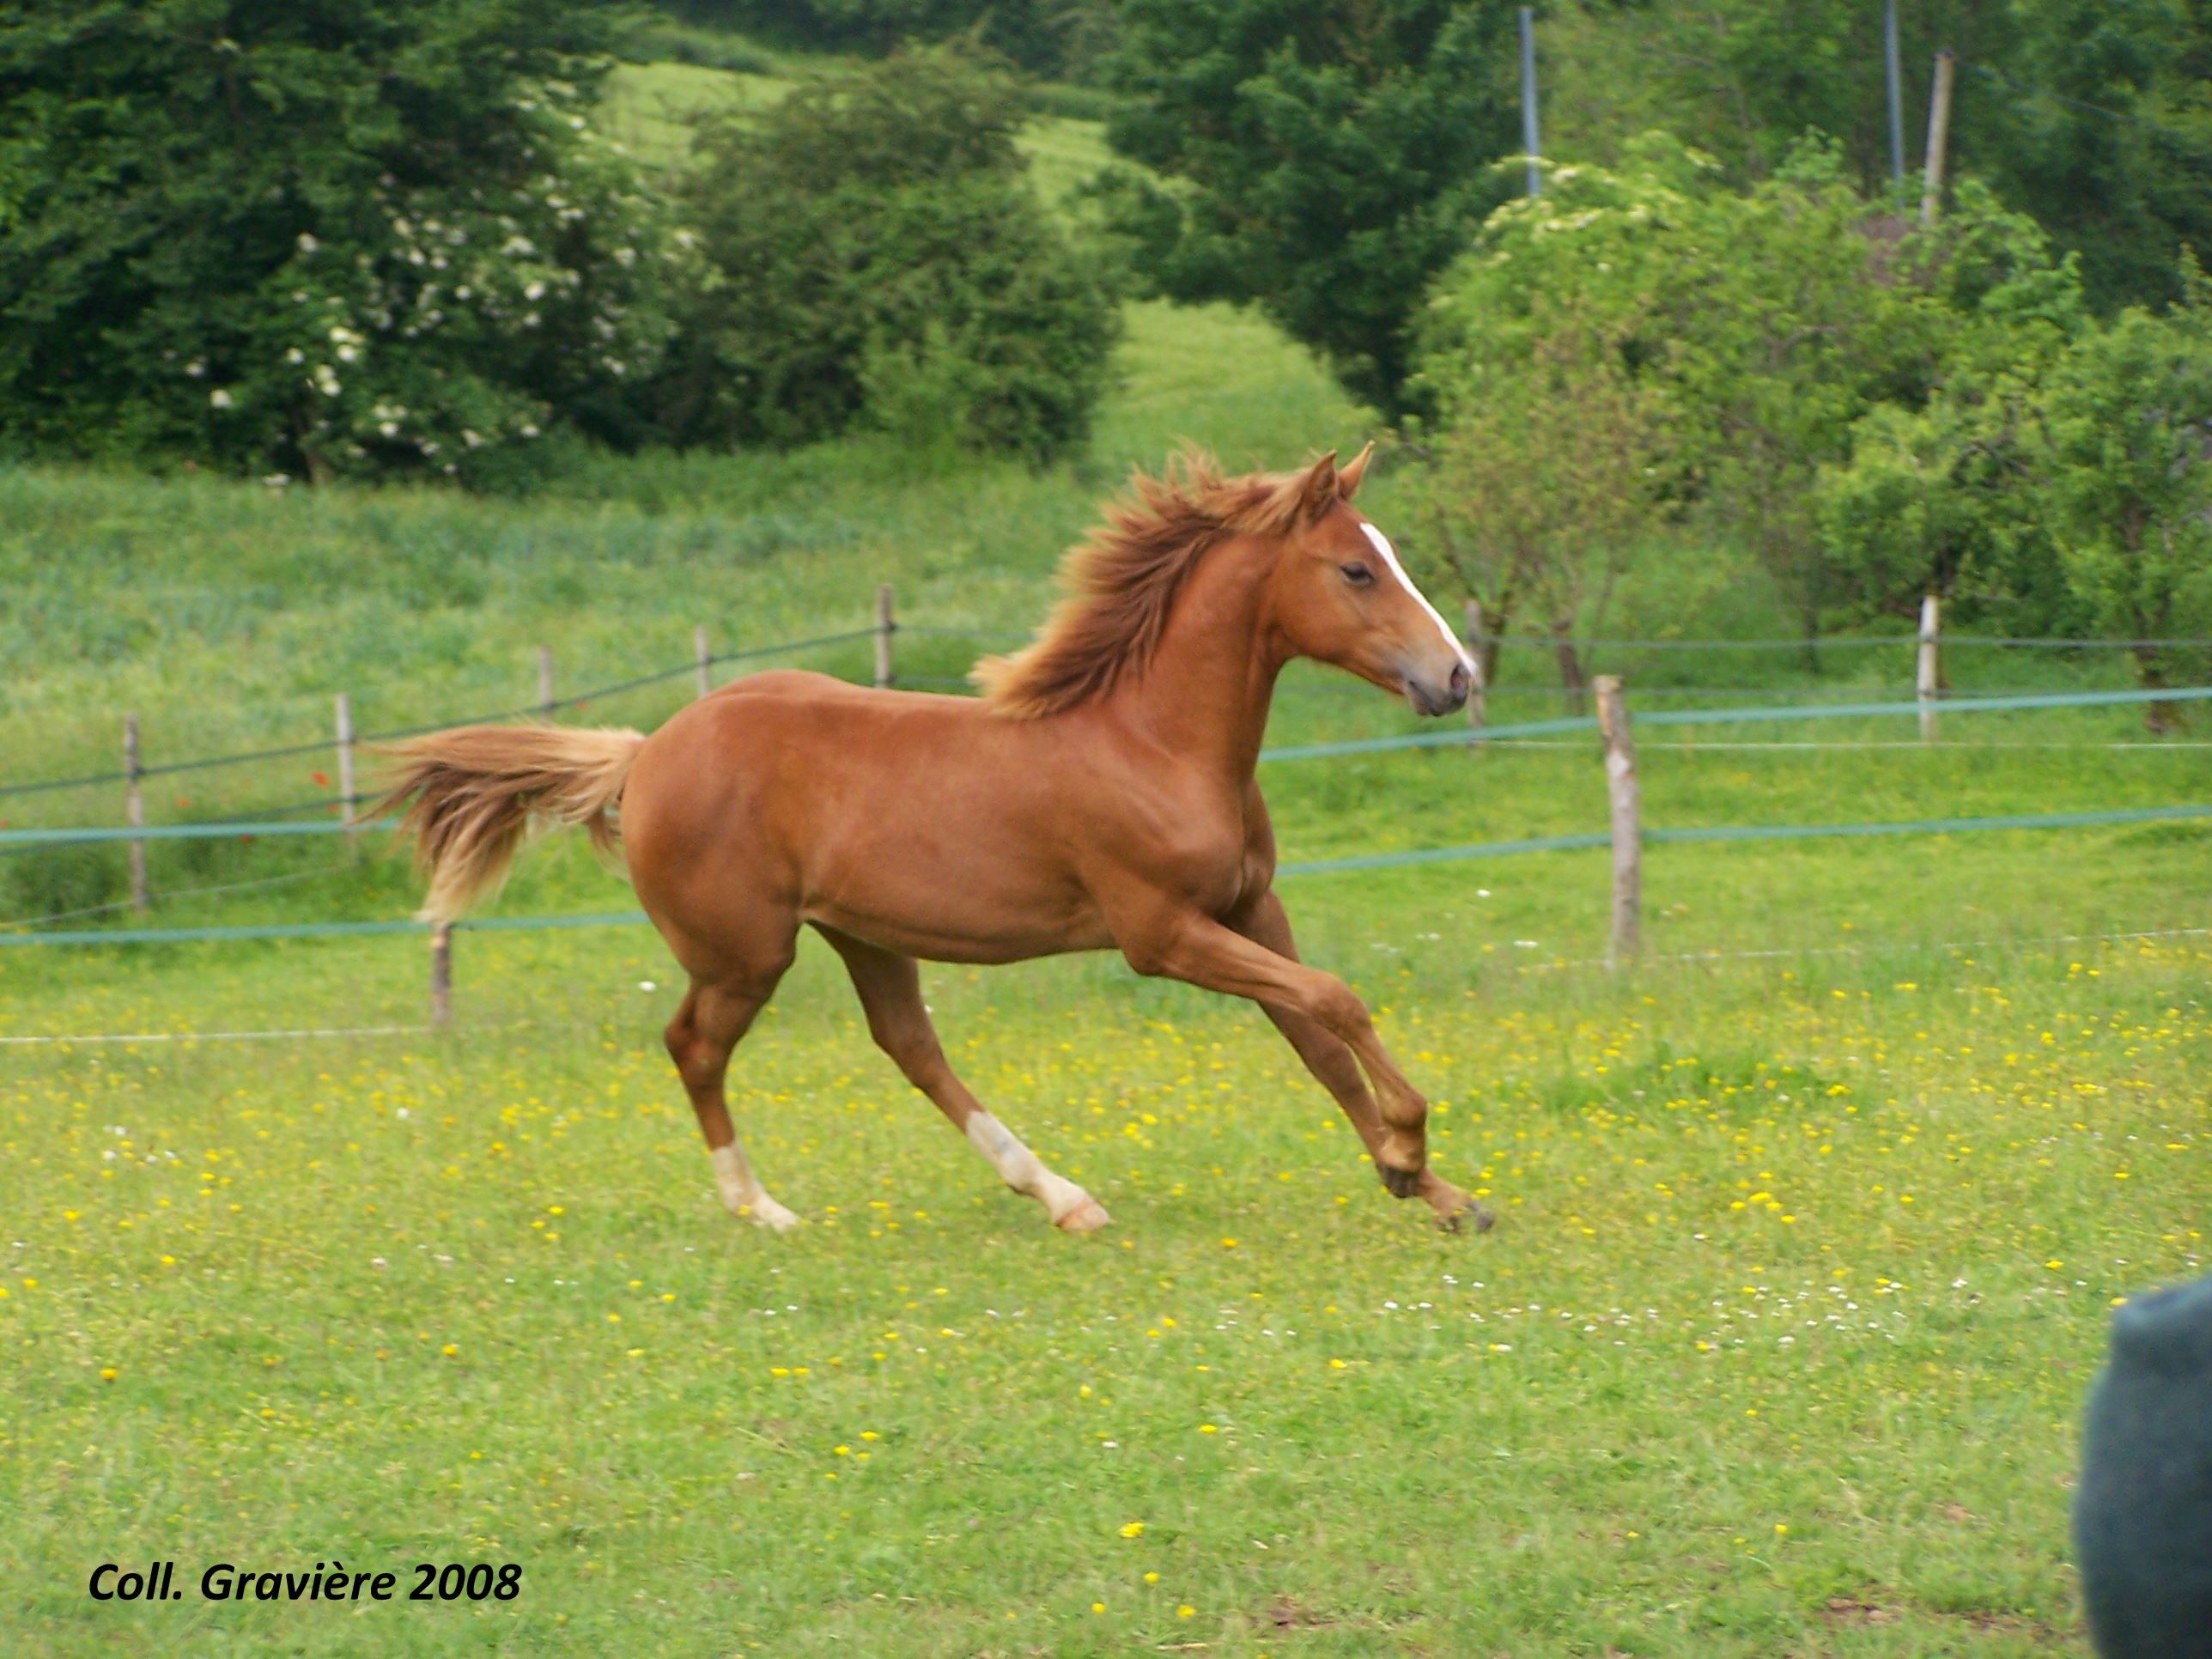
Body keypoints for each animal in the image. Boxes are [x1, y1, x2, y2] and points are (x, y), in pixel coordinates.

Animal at [380, 448, 1495, 1238]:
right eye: (1355, 568)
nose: (1457, 677)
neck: (1152, 741)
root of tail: (646, 750)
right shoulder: (1163, 935)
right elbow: (1334, 1002)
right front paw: (1408, 1153)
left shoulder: (1250, 907)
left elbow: (1319, 1041)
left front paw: (1436, 1192)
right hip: (747, 953)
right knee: (694, 1045)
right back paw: (764, 1209)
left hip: (864, 933)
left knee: (908, 1046)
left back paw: (1061, 1197)